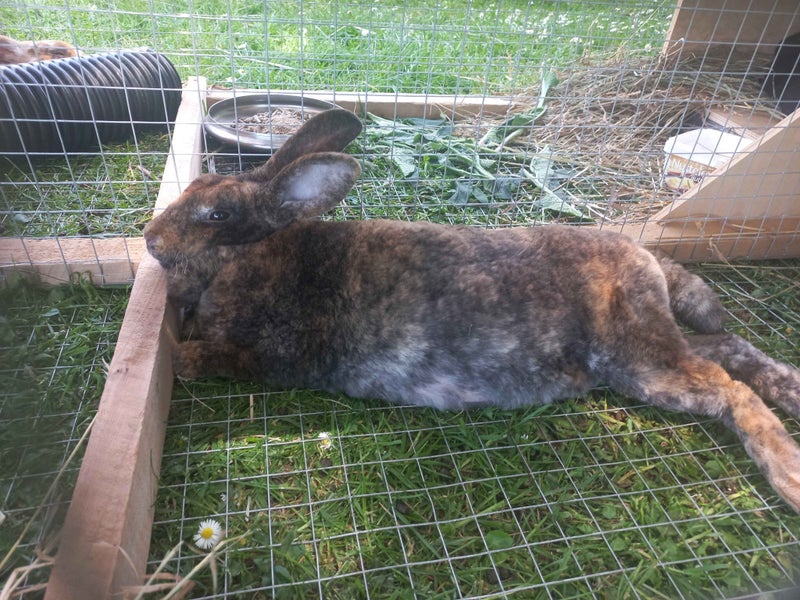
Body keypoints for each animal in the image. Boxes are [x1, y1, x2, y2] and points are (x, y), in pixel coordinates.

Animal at [144, 108, 800, 512]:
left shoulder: (266, 355)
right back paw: (790, 388)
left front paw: (178, 355)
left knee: (725, 386)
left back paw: (787, 473)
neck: (248, 258)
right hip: (646, 344)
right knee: (726, 348)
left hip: (638, 356)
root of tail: (643, 254)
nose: (150, 240)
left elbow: (206, 358)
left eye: (216, 216)